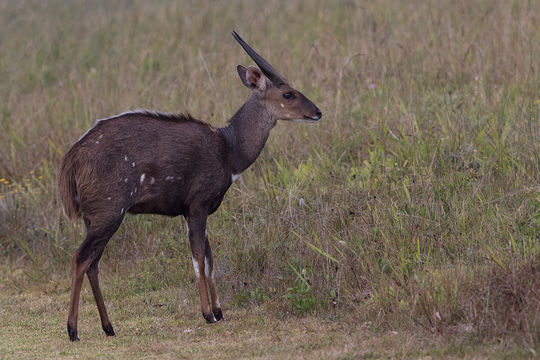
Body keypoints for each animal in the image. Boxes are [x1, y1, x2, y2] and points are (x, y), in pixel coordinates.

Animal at [58, 31, 320, 340]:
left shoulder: (195, 211)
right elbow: (198, 256)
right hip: (108, 213)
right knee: (81, 257)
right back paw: (73, 330)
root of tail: (72, 157)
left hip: (95, 218)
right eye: (288, 93)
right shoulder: (197, 205)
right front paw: (208, 314)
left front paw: (219, 311)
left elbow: (209, 257)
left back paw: (109, 327)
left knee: (93, 263)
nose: (317, 112)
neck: (229, 150)